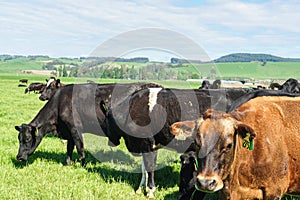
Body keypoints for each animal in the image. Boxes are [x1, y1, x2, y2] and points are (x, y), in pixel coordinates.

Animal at [15, 82, 162, 166]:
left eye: (27, 139)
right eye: (19, 139)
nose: (19, 157)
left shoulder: (75, 128)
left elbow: (80, 148)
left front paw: (83, 165)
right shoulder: (68, 130)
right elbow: (69, 148)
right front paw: (67, 164)